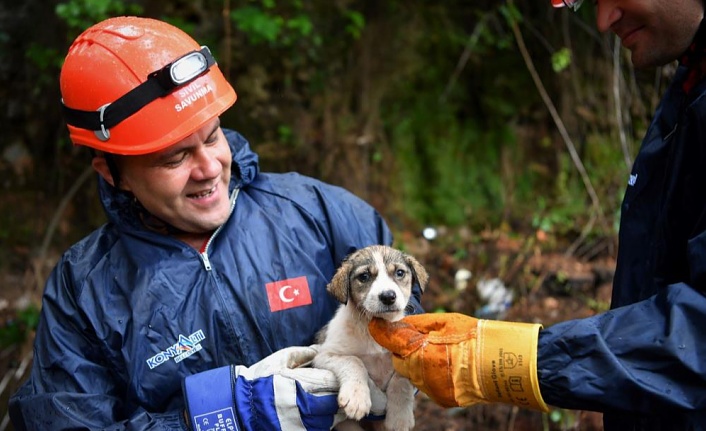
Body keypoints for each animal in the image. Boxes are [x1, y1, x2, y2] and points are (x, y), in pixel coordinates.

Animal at [314, 245, 428, 430]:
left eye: (400, 273)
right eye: (364, 276)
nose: (388, 296)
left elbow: (401, 380)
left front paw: (399, 417)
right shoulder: (324, 355)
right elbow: (354, 361)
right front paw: (357, 398)